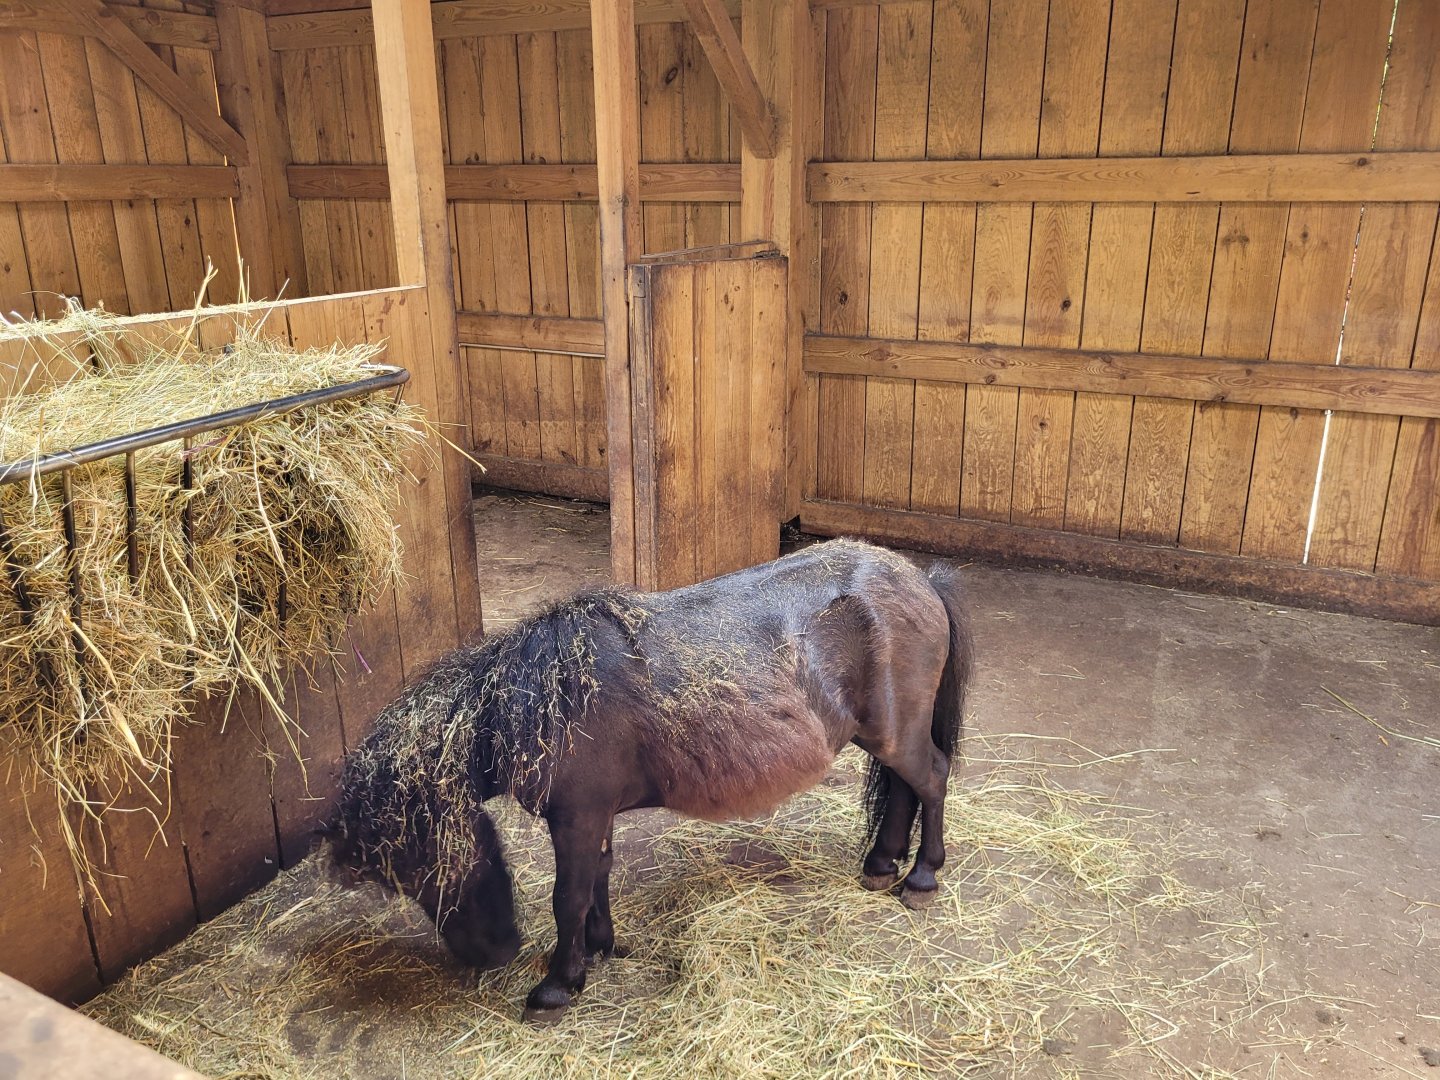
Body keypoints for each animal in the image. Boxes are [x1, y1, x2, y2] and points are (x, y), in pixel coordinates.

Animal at [326, 538, 972, 1023]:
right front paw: (597, 950)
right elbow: (597, 879)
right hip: (884, 737)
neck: (545, 696)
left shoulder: (576, 815)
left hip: (898, 735)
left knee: (931, 781)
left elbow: (568, 895)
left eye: (420, 863)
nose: (494, 952)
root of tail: (921, 580)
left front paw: (555, 986)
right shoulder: (592, 816)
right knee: (903, 789)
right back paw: (882, 864)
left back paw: (921, 877)